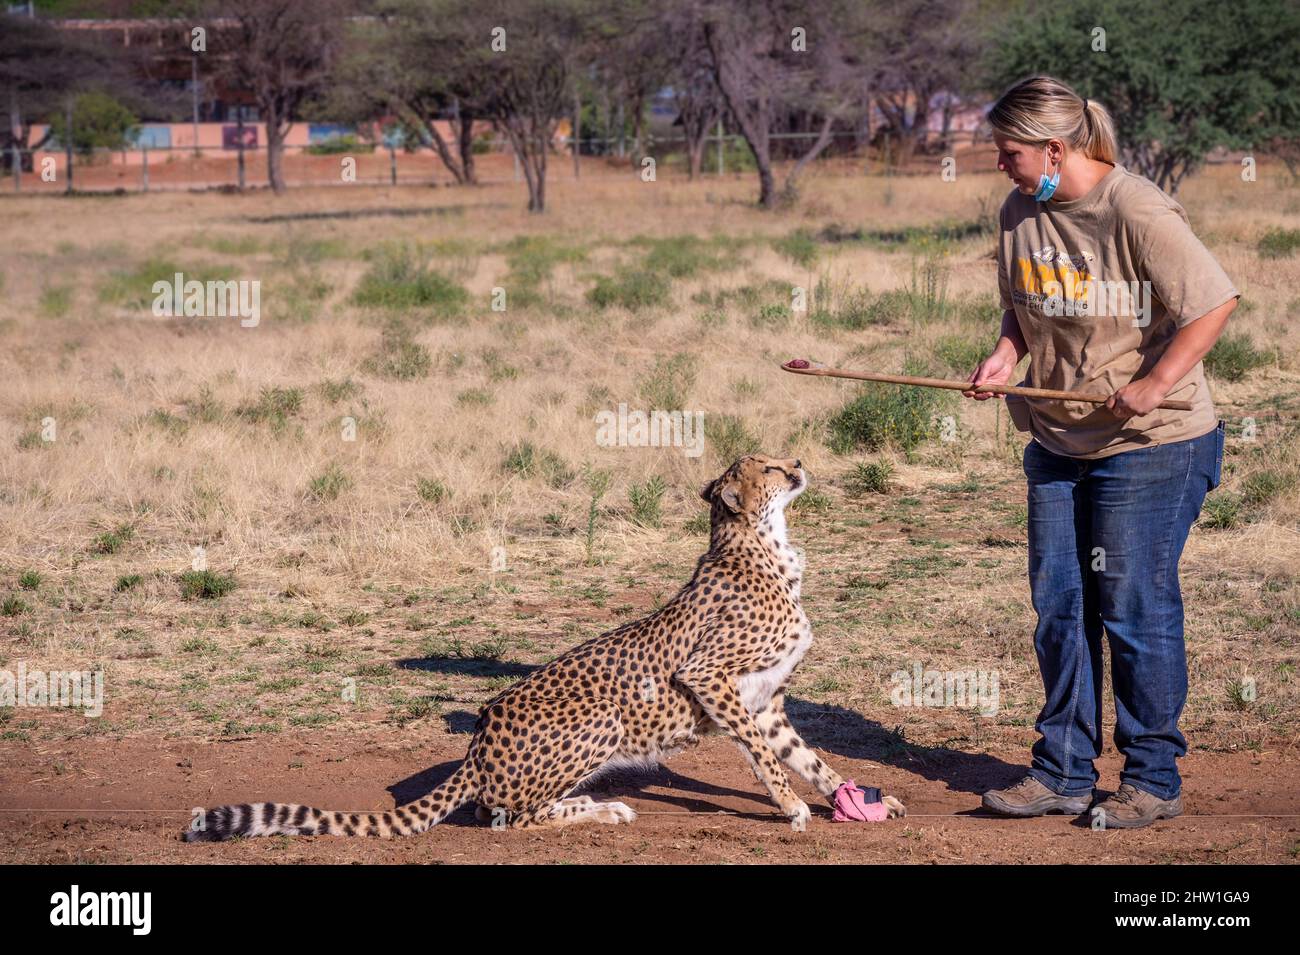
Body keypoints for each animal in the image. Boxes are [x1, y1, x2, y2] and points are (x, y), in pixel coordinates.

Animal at [183, 452, 904, 841]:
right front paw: (790, 806)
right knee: (503, 814)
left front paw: (857, 797)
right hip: (603, 717)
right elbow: (764, 757)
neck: (765, 543)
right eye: (772, 469)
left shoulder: (767, 698)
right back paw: (589, 811)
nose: (801, 465)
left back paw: (595, 803)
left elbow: (810, 757)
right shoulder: (711, 678)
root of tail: (478, 740)